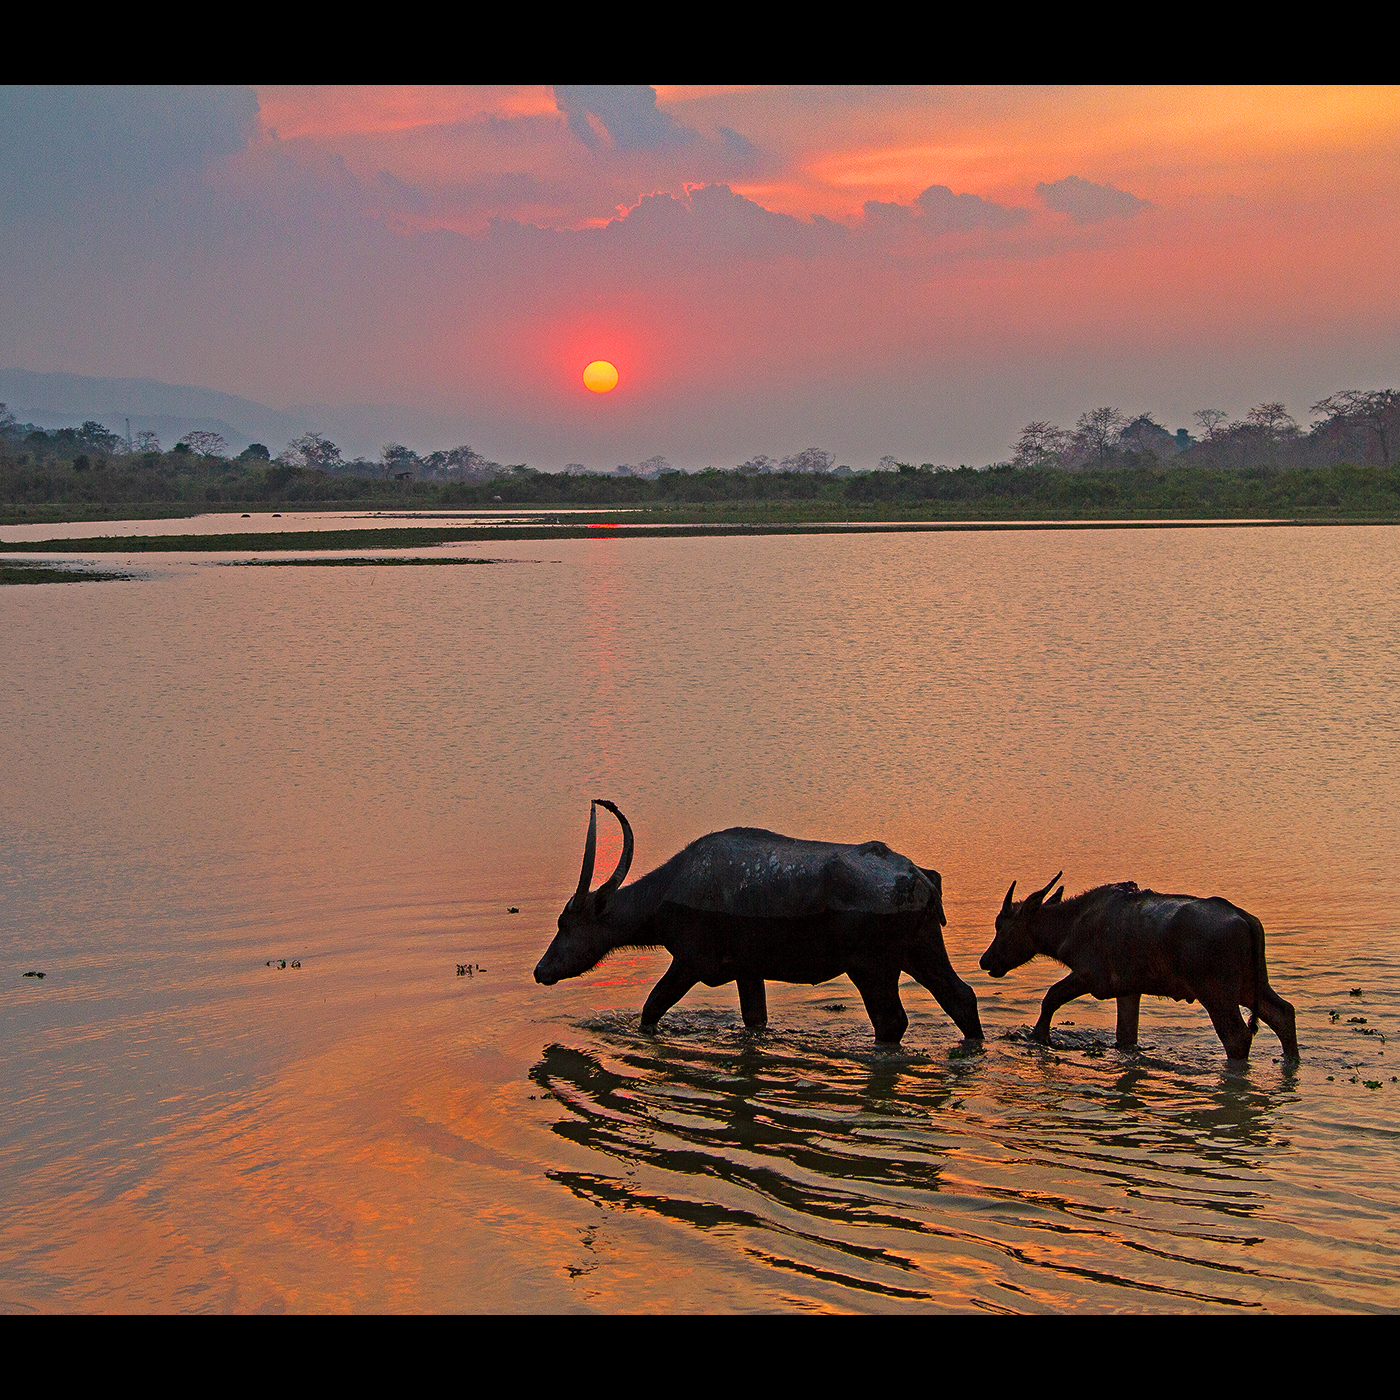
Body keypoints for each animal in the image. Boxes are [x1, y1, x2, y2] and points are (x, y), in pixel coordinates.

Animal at [532, 800, 985, 1041]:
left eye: (566, 924)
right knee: (962, 997)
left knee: (892, 1022)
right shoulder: (747, 971)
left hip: (872, 968)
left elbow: (650, 1008)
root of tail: (924, 879)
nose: (541, 970)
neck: (661, 901)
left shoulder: (692, 962)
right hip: (922, 949)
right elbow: (755, 1019)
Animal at [980, 873, 1293, 1058]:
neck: (1066, 927)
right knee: (1283, 1014)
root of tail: (1246, 919)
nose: (985, 960)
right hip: (1252, 987)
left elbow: (1050, 999)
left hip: (1218, 994)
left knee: (1237, 1036)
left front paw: (1039, 1037)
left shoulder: (1089, 977)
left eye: (1001, 926)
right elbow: (1126, 1035)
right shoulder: (1129, 989)